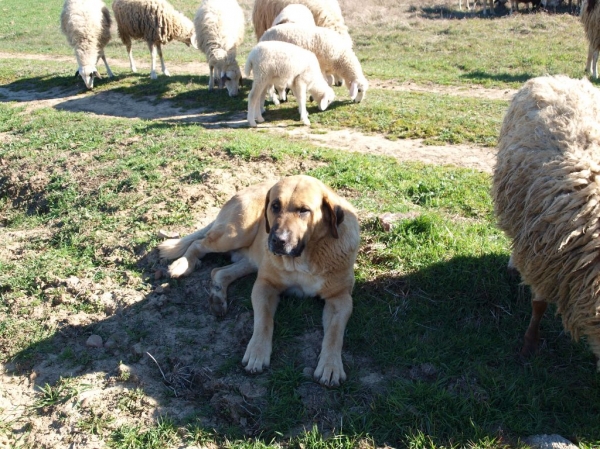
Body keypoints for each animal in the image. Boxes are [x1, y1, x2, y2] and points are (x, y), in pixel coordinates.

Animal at [156, 175, 360, 384]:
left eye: (304, 210)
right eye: (275, 206)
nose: (277, 240)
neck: (304, 257)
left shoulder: (340, 299)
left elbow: (334, 333)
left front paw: (331, 366)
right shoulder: (265, 285)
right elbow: (264, 321)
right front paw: (257, 353)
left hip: (252, 257)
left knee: (218, 271)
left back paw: (218, 298)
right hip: (235, 234)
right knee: (198, 244)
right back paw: (182, 265)